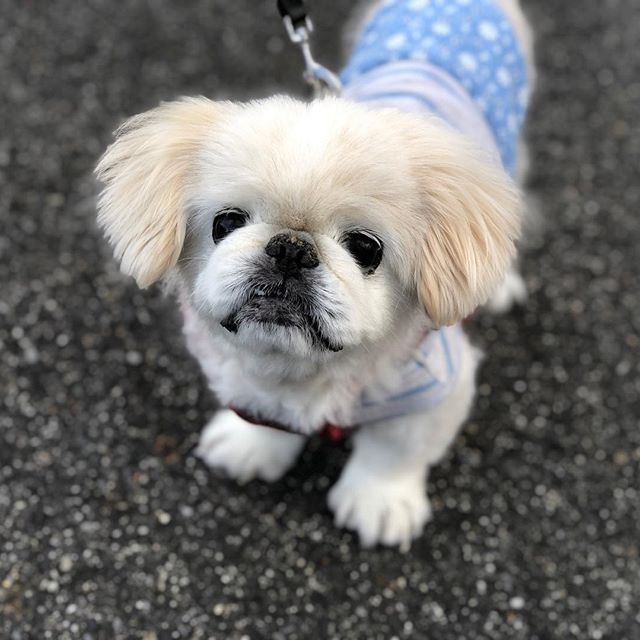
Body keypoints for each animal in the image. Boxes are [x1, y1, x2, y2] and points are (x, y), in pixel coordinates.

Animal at [95, 0, 536, 552]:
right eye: (226, 223)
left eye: (366, 248)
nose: (290, 248)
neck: (305, 369)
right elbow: (263, 414)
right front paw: (252, 446)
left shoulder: (436, 387)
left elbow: (396, 447)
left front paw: (379, 503)